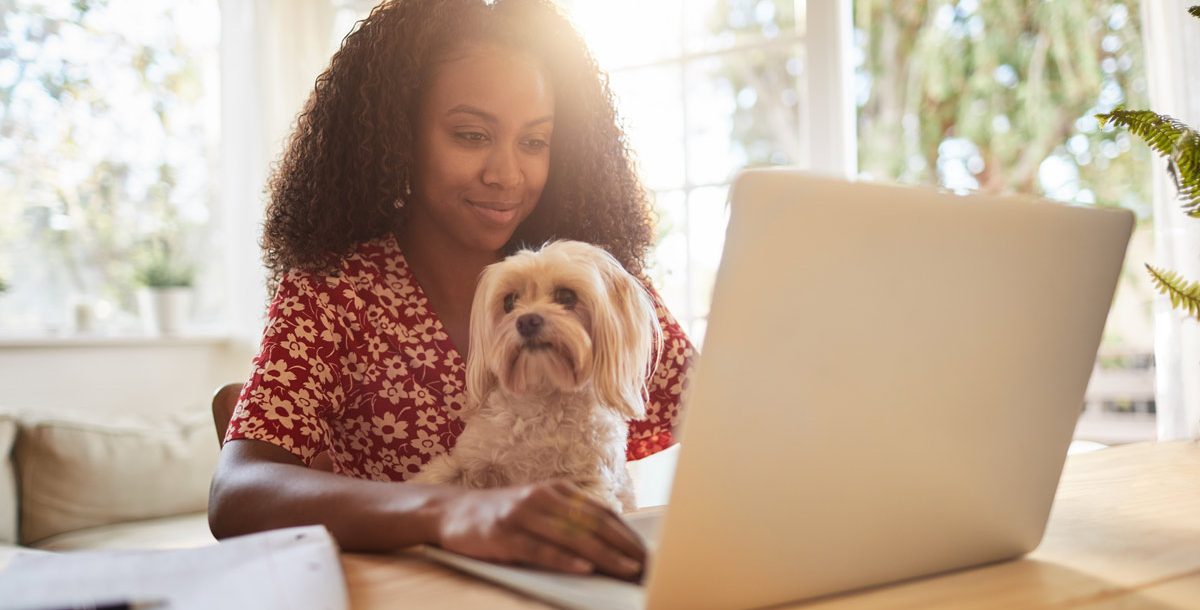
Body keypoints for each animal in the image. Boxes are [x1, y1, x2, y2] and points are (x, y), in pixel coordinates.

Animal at [410, 237, 657, 509]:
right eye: (509, 302)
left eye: (566, 296)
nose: (526, 321)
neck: (542, 392)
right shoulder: (469, 462)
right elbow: (438, 477)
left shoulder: (589, 480)